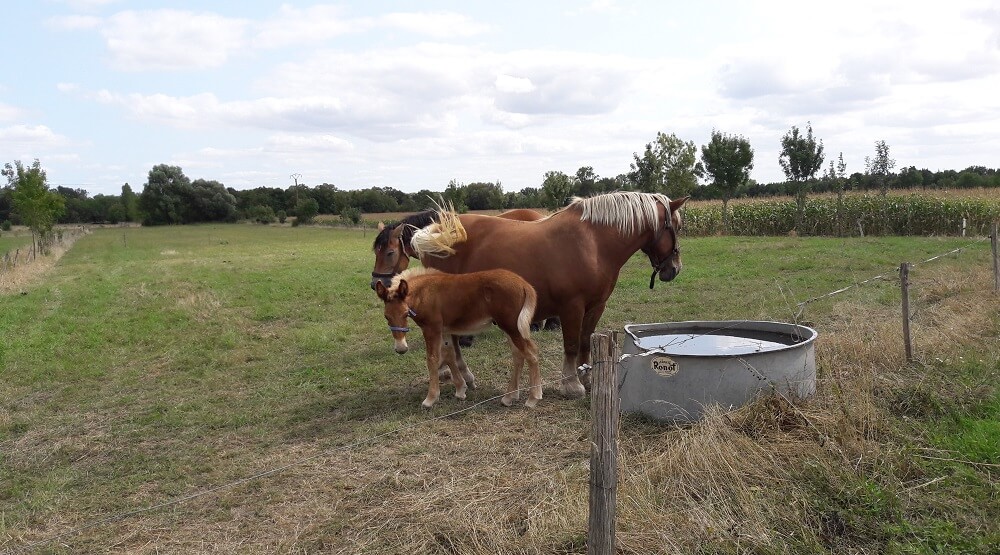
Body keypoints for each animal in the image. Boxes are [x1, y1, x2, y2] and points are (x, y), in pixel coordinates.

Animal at [406, 192, 688, 400]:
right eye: (676, 226)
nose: (674, 269)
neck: (593, 243)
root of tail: (437, 230)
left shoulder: (596, 306)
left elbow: (585, 342)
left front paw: (587, 377)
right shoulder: (572, 307)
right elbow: (571, 344)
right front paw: (572, 384)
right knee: (453, 343)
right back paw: (463, 378)